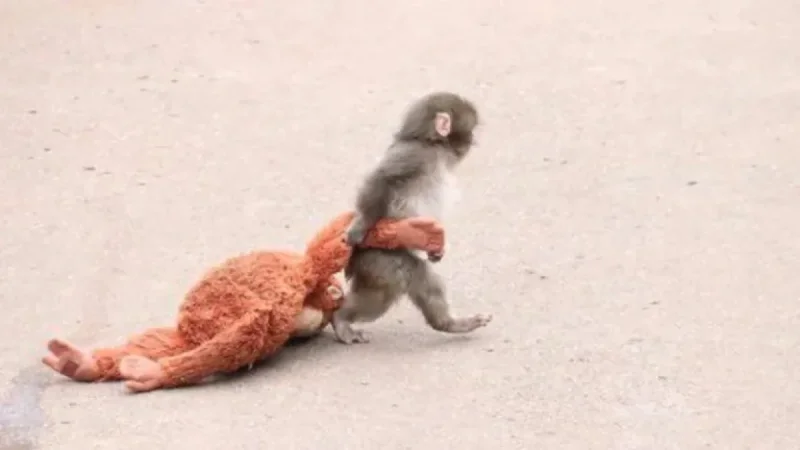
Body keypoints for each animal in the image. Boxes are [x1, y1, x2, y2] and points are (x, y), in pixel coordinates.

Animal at [332, 91, 493, 344]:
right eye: (470, 130)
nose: (472, 141)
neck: (431, 145)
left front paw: (437, 251)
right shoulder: (415, 155)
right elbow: (382, 178)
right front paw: (360, 225)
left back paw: (449, 324)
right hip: (380, 258)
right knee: (392, 286)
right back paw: (340, 319)